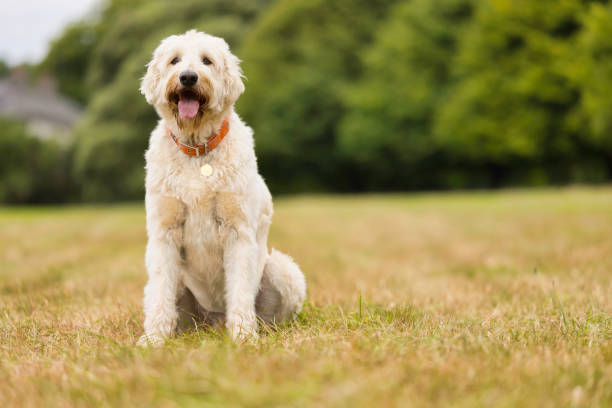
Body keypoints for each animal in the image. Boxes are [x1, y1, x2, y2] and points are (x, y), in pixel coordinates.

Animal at [138, 29, 306, 344]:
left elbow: (239, 289)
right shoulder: (164, 232)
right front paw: (154, 338)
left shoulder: (237, 230)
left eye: (207, 60)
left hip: (283, 270)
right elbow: (161, 292)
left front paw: (242, 336)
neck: (197, 150)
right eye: (174, 60)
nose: (188, 77)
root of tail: (212, 321)